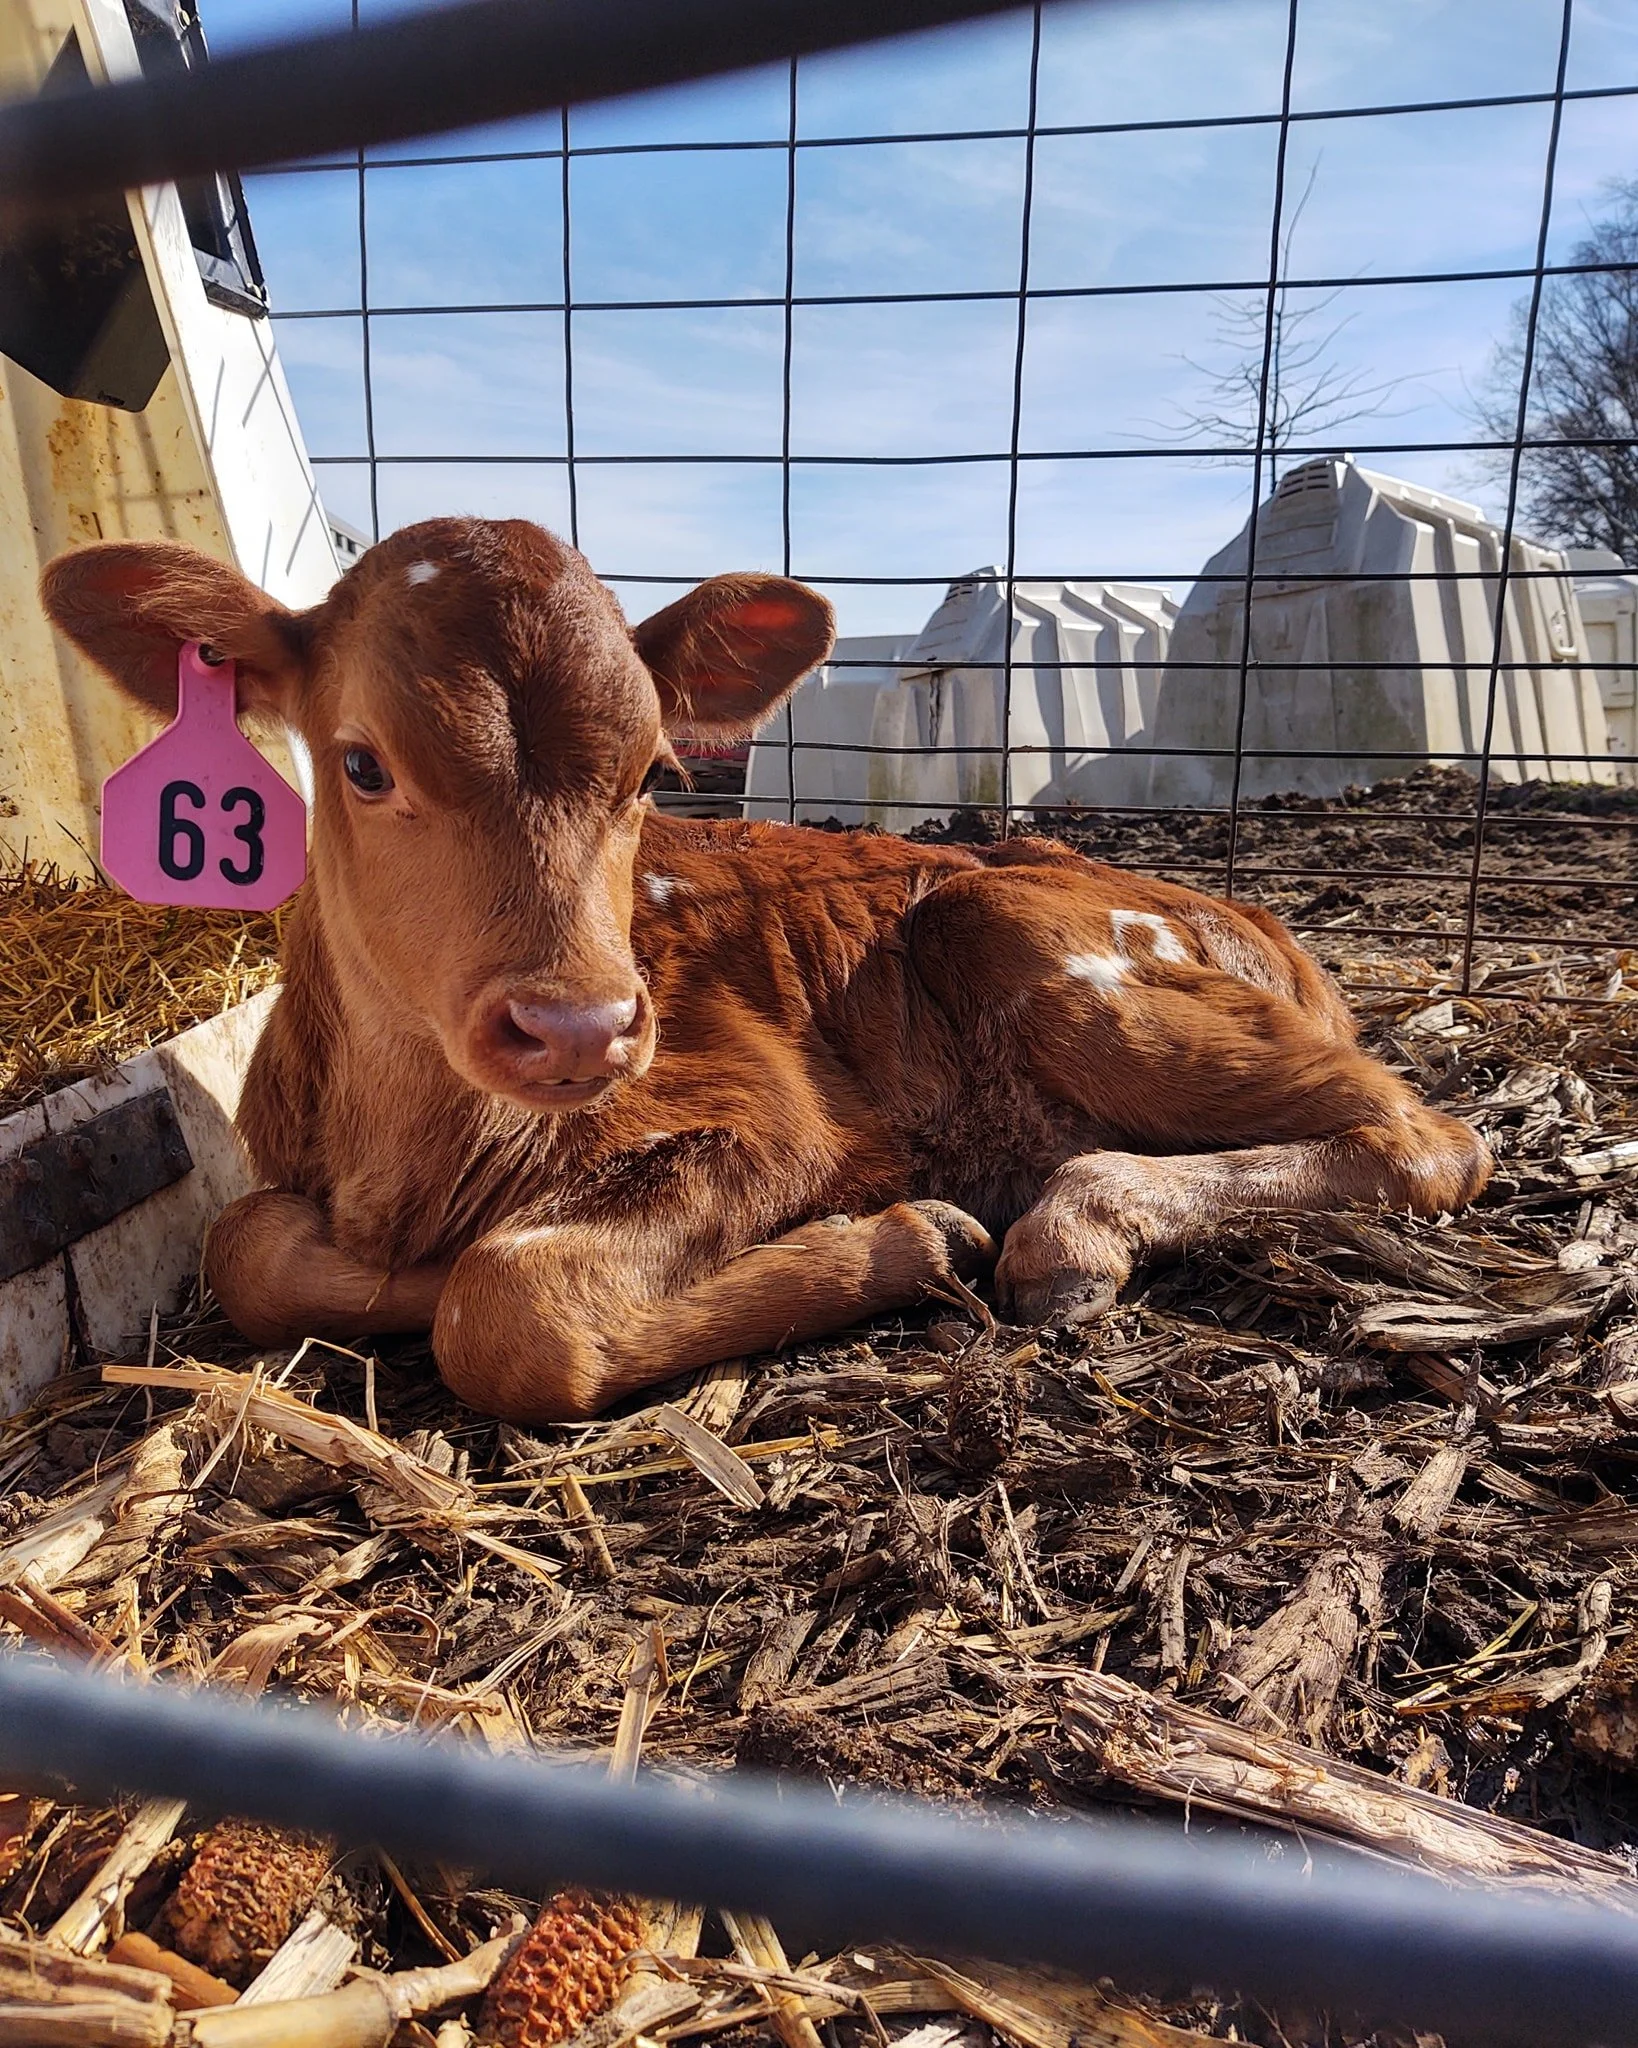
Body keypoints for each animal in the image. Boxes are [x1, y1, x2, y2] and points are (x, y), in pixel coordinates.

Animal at [42, 520, 1490, 1423]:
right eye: (360, 762)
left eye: (648, 773)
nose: (579, 1025)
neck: (412, 1148)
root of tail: (1260, 916)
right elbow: (246, 1244)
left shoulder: (768, 1114)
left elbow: (504, 1304)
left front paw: (907, 1233)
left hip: (1030, 939)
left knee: (1428, 1134)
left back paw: (1070, 1225)